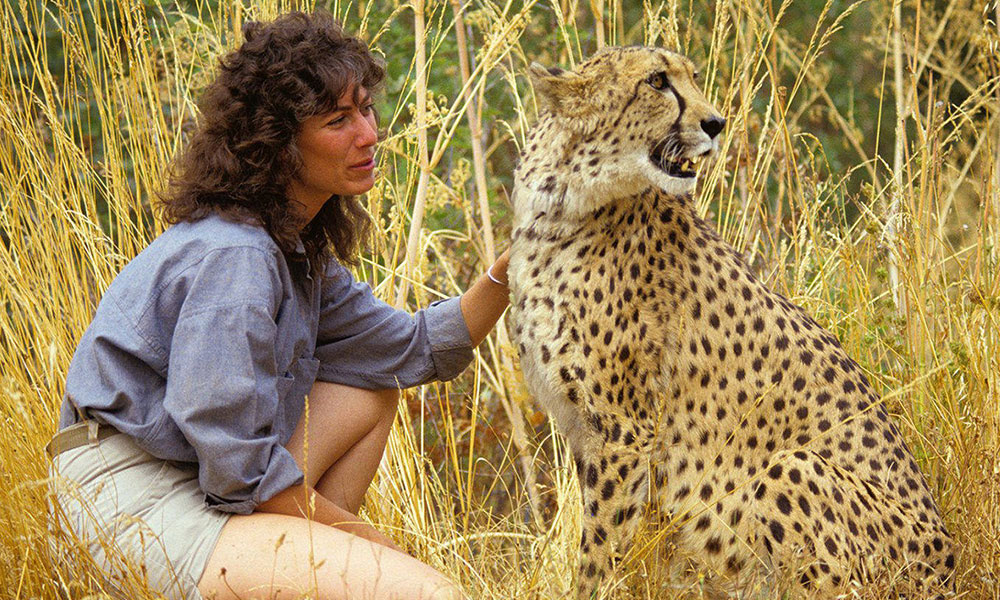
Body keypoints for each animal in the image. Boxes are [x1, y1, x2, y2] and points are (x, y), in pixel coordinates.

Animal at [508, 45, 952, 596]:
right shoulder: (592, 432)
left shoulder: (625, 433)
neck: (563, 206)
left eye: (693, 77)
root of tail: (949, 565)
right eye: (657, 81)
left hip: (792, 467)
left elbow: (600, 549)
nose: (716, 123)